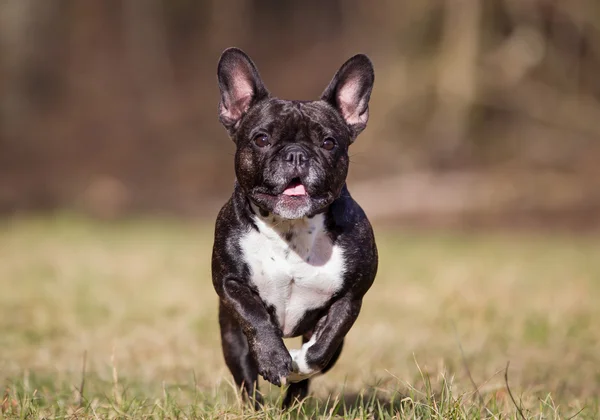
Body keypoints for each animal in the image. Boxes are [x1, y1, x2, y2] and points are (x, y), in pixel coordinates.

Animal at [213, 48, 378, 406]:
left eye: (329, 143)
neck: (291, 229)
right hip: (230, 335)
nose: (296, 154)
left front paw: (300, 364)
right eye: (261, 139)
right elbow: (256, 317)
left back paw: (293, 403)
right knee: (245, 374)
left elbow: (325, 344)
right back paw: (257, 406)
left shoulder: (350, 297)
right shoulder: (231, 284)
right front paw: (276, 360)